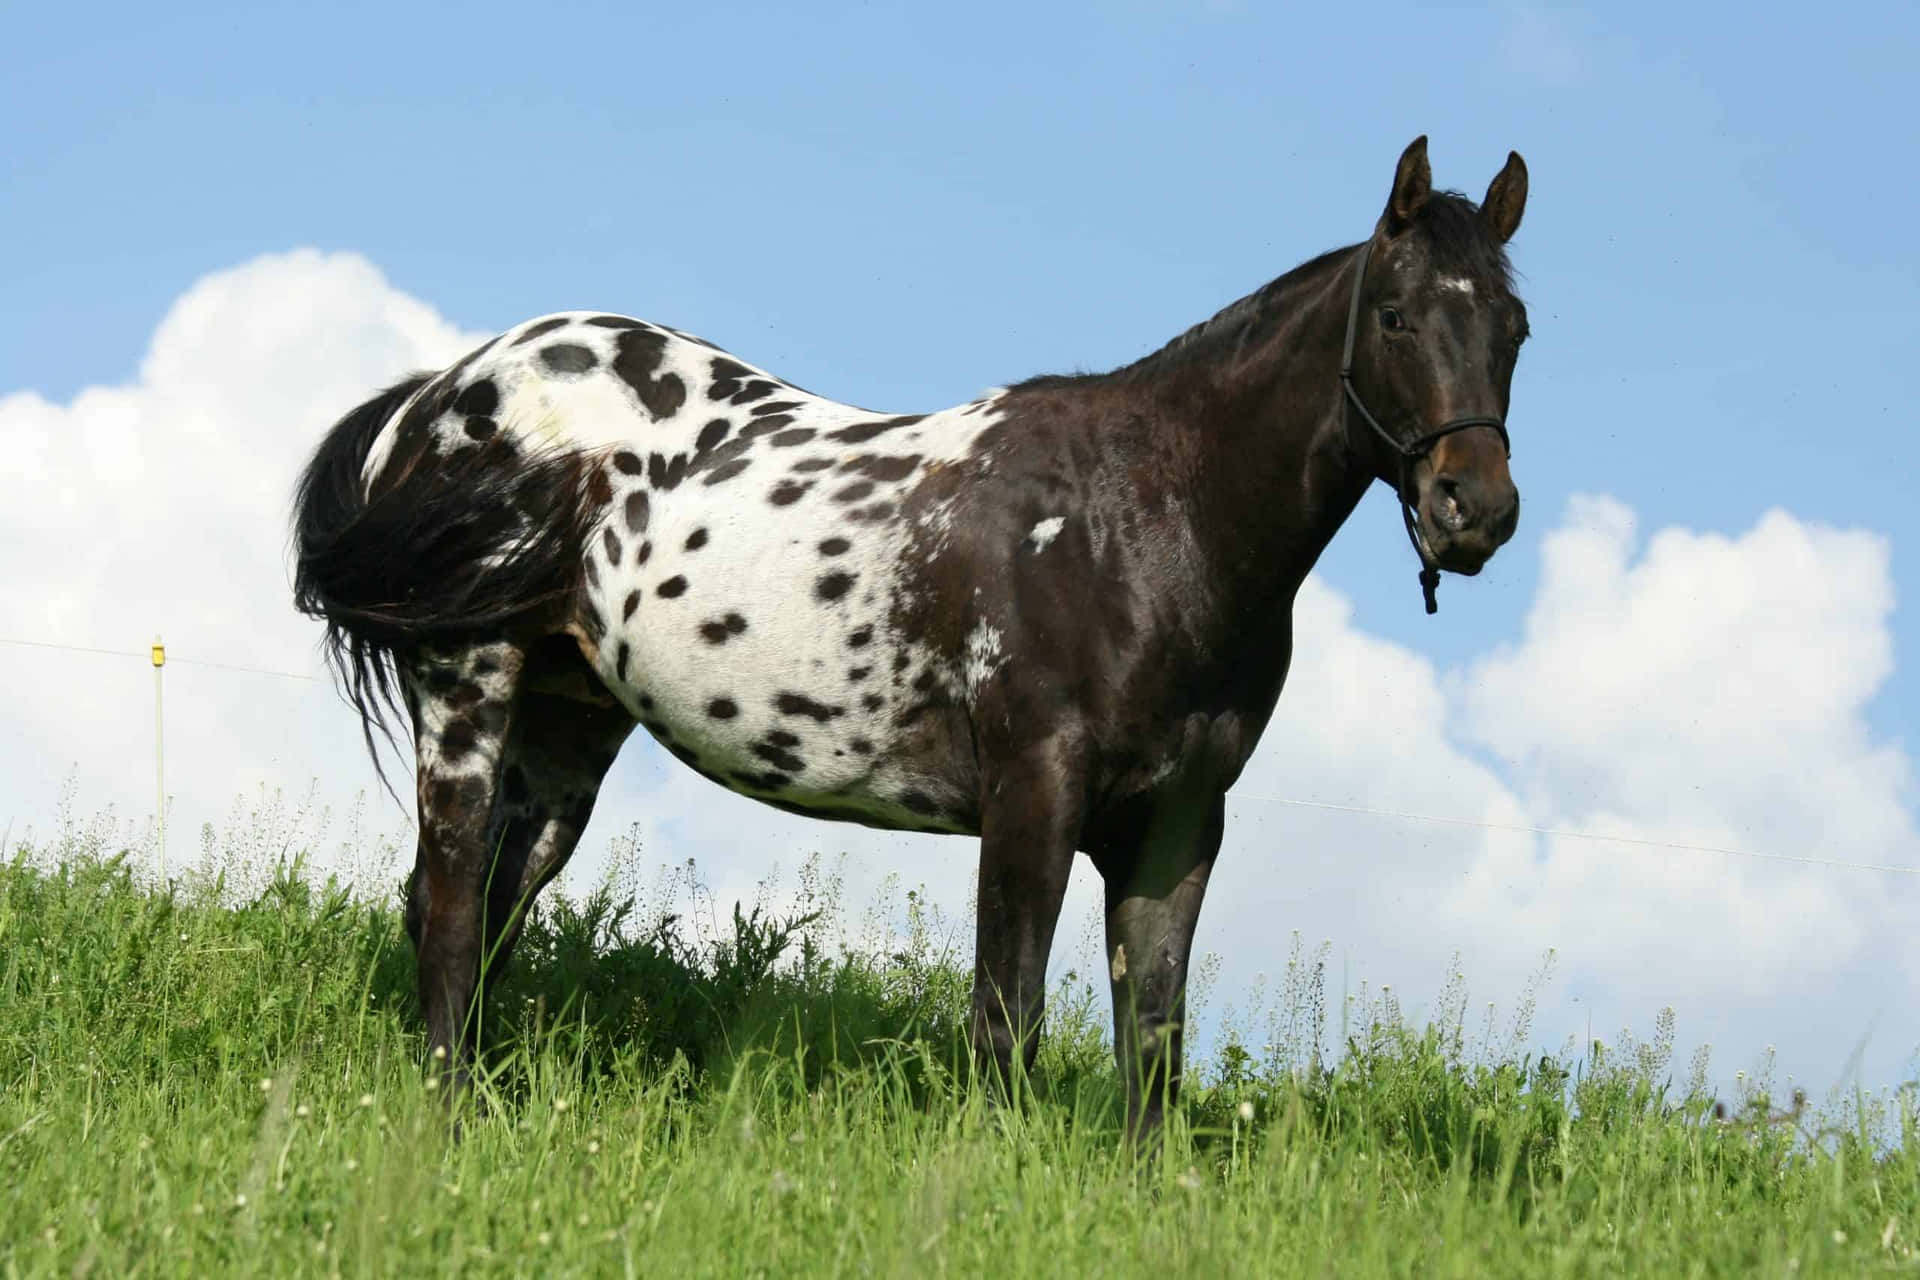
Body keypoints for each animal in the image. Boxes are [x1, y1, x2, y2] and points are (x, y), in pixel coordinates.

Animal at [292, 136, 1528, 1140]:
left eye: (1514, 330)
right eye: (1398, 317)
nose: (1476, 510)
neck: (1143, 516)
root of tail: (443, 391)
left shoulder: (1177, 826)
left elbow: (1153, 1042)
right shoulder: (1033, 795)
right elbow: (1007, 1014)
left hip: (566, 730)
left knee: (489, 909)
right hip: (470, 688)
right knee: (451, 907)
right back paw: (444, 1123)